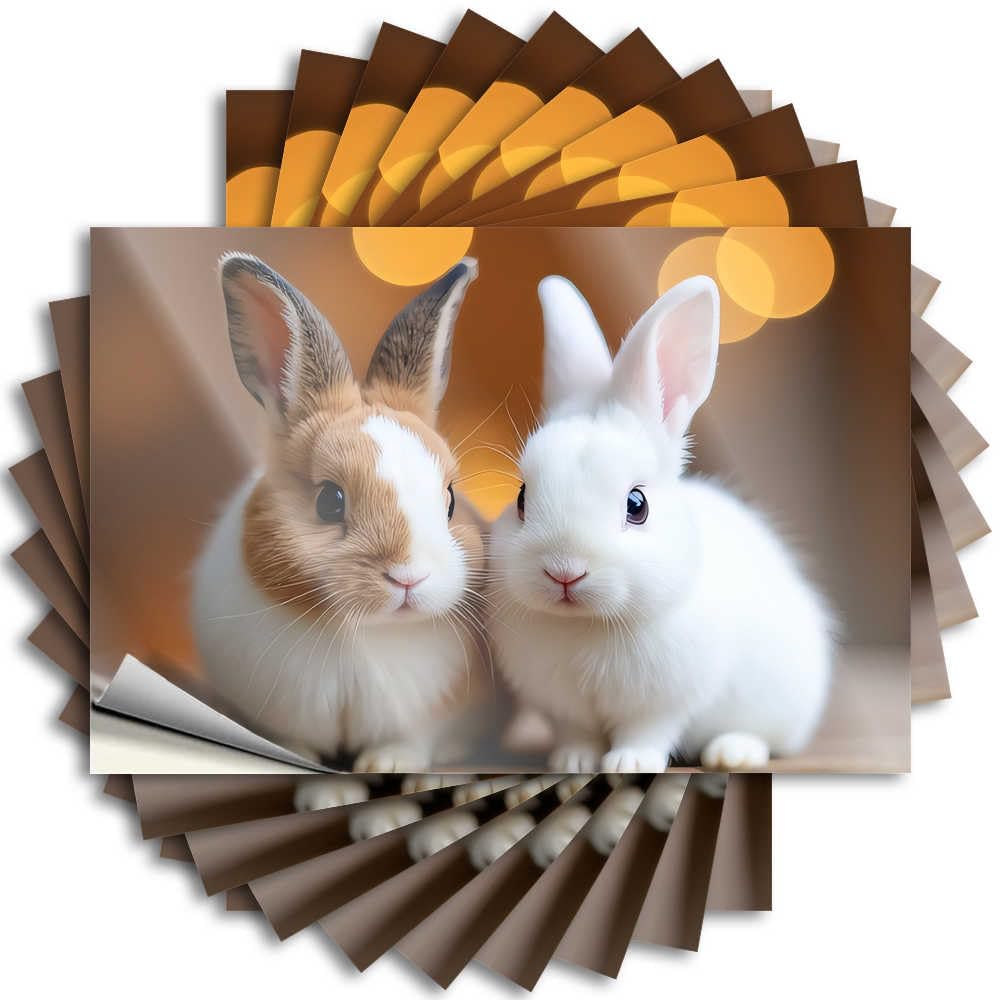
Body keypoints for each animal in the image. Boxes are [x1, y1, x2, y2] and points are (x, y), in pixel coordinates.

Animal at [192, 254, 494, 773]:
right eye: (329, 501)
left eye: (452, 500)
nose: (408, 576)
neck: (363, 632)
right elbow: (294, 744)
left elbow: (413, 740)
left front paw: (387, 765)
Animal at [489, 274, 834, 773]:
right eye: (520, 498)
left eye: (637, 505)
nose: (564, 571)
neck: (588, 625)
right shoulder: (565, 706)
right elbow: (577, 733)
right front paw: (573, 763)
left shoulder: (663, 702)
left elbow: (646, 732)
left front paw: (628, 763)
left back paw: (733, 752)